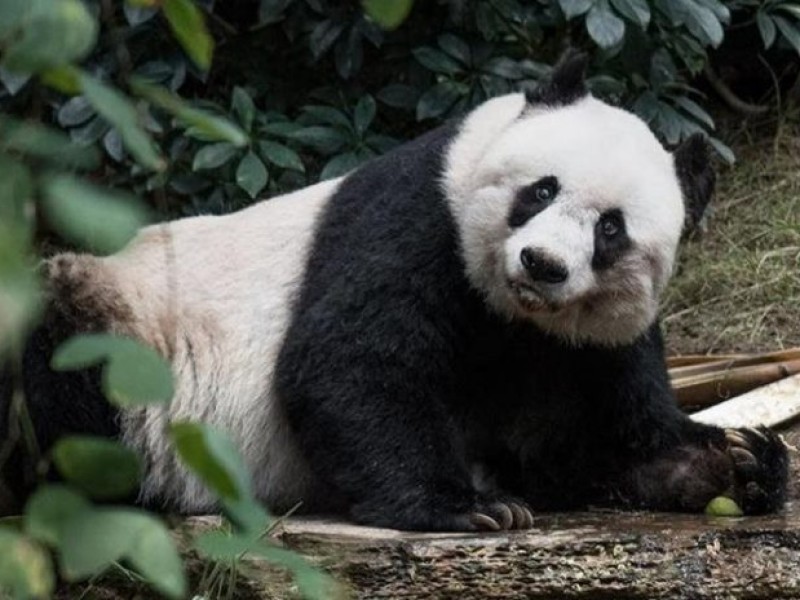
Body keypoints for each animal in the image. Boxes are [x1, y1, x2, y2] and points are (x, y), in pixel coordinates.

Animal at [0, 52, 788, 528]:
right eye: (539, 190)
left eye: (611, 230)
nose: (541, 264)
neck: (515, 316)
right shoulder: (416, 220)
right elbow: (351, 362)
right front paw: (469, 508)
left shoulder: (591, 340)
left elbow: (604, 436)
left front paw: (739, 461)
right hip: (125, 324)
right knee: (64, 366)